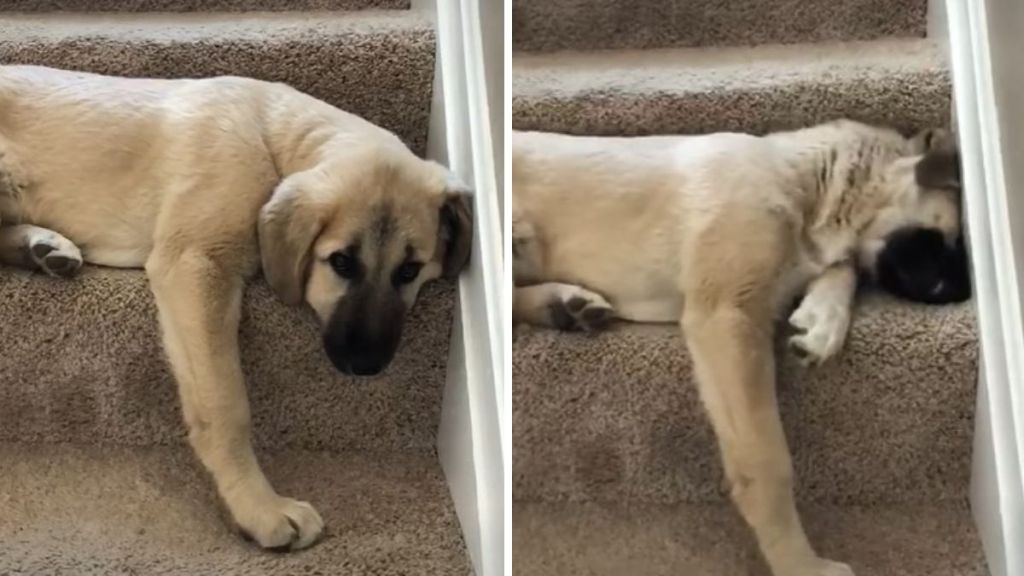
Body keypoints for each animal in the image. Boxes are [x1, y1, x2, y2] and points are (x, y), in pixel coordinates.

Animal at [512, 117, 966, 573]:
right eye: (956, 241)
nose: (961, 295)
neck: (808, 185)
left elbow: (844, 268)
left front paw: (822, 321)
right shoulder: (728, 316)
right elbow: (767, 463)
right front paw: (799, 564)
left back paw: (564, 306)